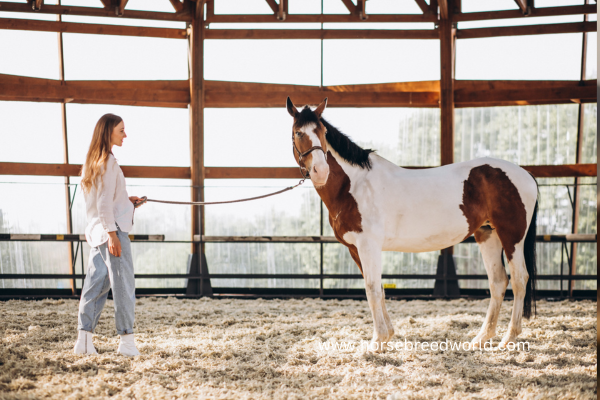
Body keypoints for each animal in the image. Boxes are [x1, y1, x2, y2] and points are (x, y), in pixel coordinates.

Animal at [288, 97, 540, 354]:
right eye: (298, 132)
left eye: (322, 132)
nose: (321, 171)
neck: (354, 185)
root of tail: (526, 174)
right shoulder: (356, 249)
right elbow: (379, 289)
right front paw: (387, 336)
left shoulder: (369, 246)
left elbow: (372, 289)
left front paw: (377, 341)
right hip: (488, 235)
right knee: (498, 282)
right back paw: (481, 338)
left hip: (512, 237)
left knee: (519, 280)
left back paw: (509, 338)